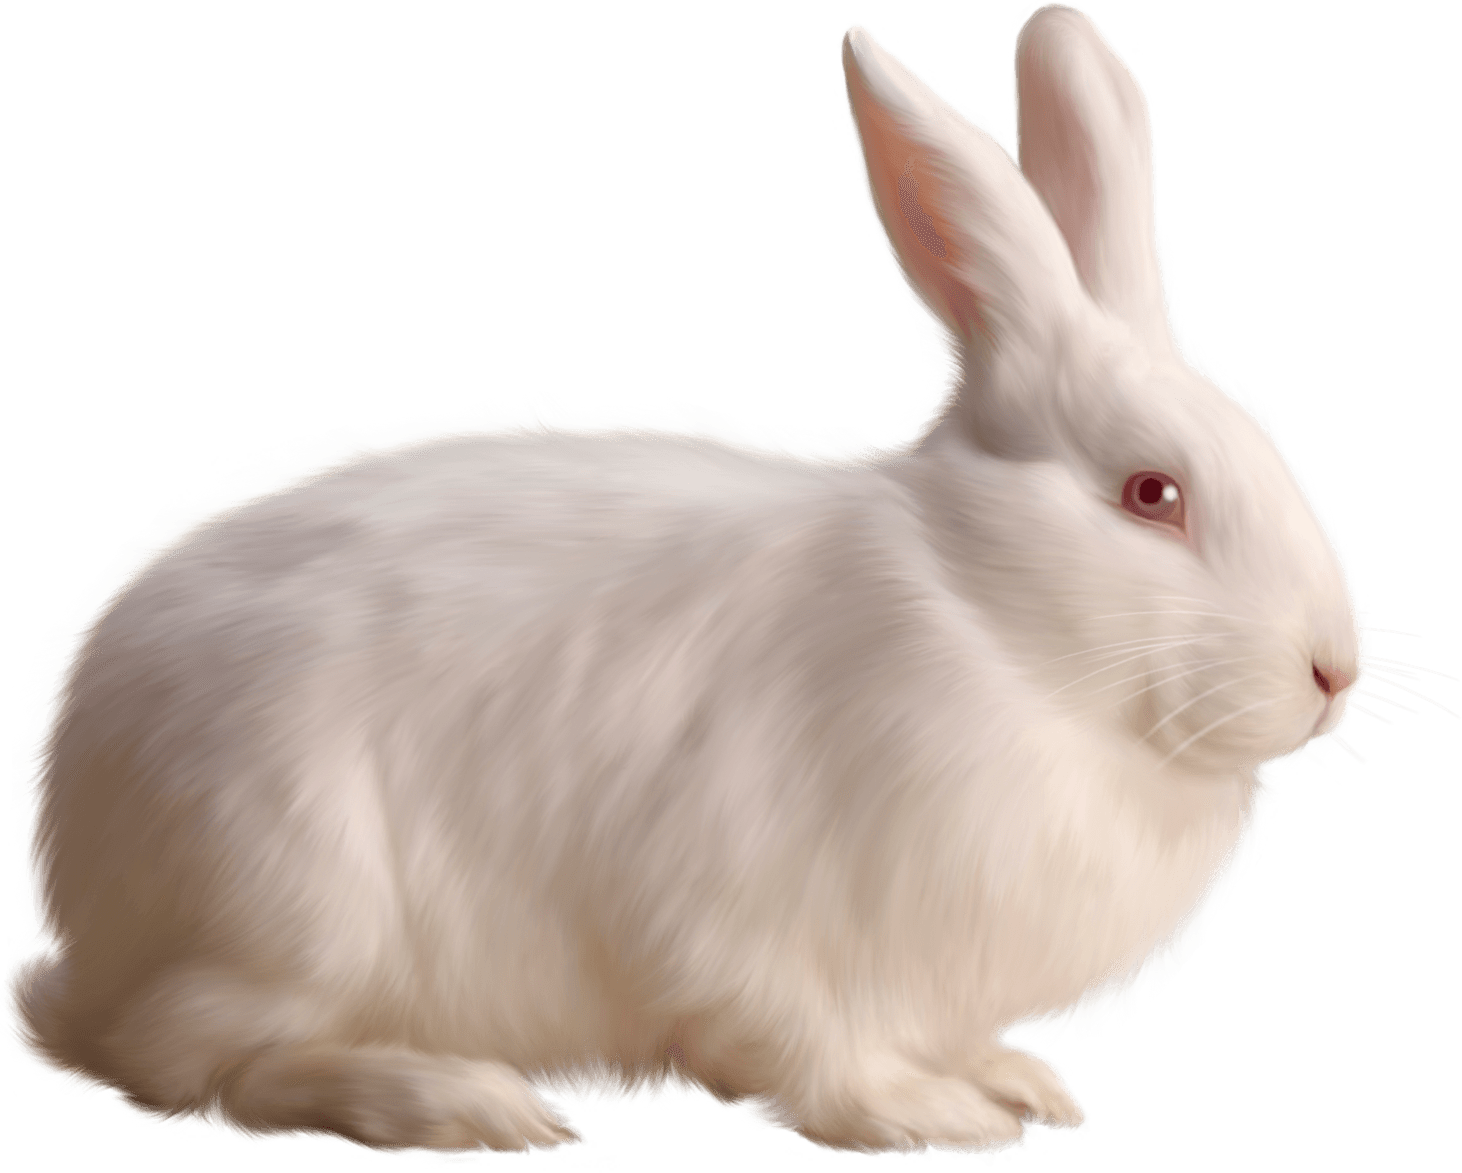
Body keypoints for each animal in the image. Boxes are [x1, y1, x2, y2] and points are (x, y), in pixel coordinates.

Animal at [5, 5, 1367, 1162]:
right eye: (1152, 494)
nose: (1330, 672)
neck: (989, 621)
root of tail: (75, 898)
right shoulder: (745, 920)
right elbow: (800, 1053)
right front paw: (929, 1118)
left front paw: (1014, 1080)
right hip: (297, 897)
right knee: (197, 1062)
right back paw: (463, 1102)